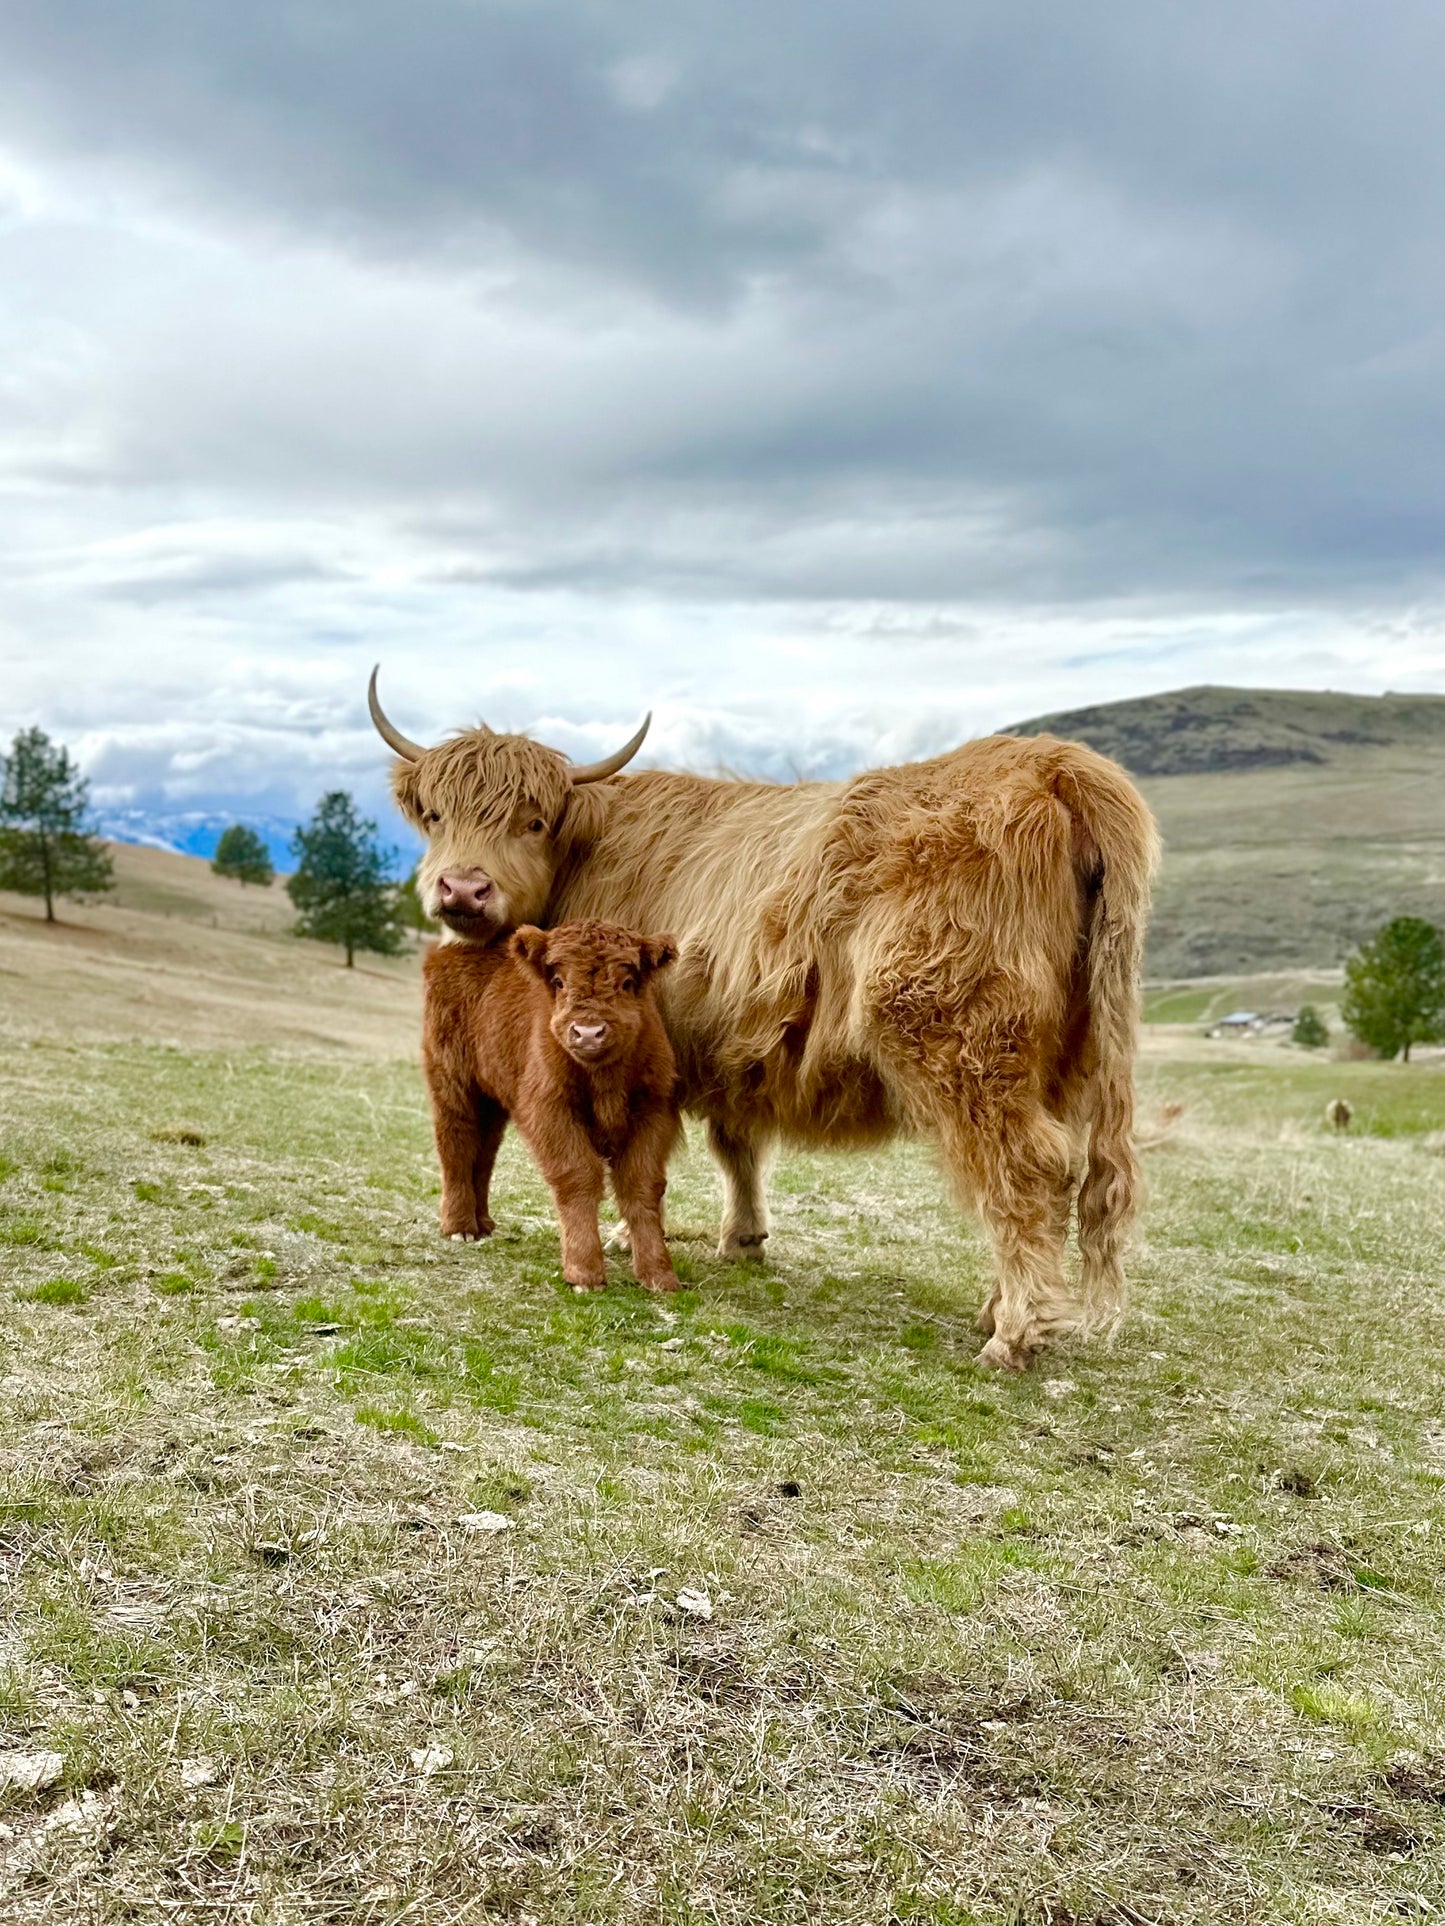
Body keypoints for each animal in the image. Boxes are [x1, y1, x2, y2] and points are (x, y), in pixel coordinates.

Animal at [423, 919, 681, 1293]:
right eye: (559, 981)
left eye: (628, 982)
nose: (588, 1032)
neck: (603, 1078)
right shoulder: (550, 1111)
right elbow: (578, 1176)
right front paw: (584, 1272)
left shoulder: (652, 1112)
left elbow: (642, 1184)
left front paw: (658, 1273)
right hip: (453, 1082)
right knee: (456, 1141)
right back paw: (460, 1227)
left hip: (492, 1098)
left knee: (483, 1153)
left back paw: (482, 1221)